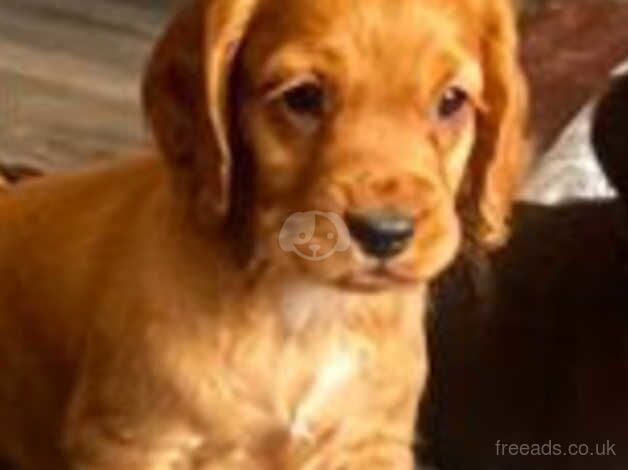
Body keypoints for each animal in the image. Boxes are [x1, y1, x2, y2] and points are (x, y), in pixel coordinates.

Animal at [0, 0, 528, 468]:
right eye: (303, 97)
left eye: (452, 101)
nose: (385, 233)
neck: (304, 307)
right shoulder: (134, 441)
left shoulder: (369, 441)